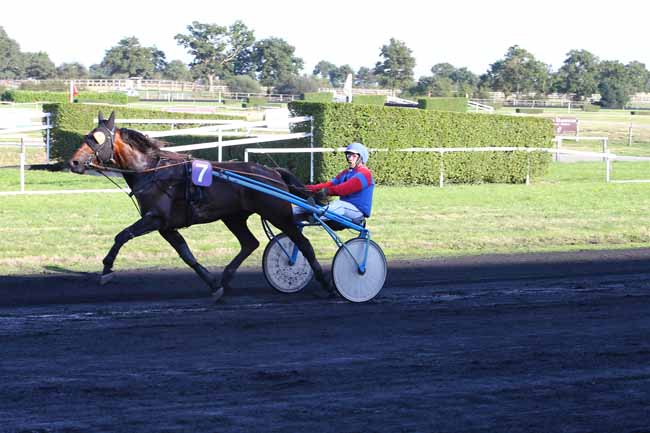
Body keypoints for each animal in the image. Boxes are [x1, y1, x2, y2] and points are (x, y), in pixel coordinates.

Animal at [68, 111, 331, 302]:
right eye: (87, 136)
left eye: (97, 139)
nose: (74, 162)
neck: (152, 171)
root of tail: (272, 171)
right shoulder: (166, 227)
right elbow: (186, 254)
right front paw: (213, 285)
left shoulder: (154, 219)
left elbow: (122, 235)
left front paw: (106, 270)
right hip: (234, 217)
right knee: (250, 243)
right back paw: (225, 278)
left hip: (278, 214)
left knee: (303, 244)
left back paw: (325, 283)